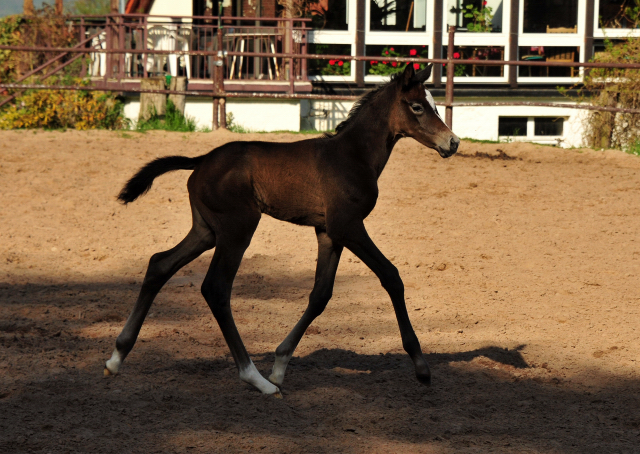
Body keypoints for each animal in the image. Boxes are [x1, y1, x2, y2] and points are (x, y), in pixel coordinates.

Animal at [107, 62, 462, 396]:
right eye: (417, 107)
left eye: (433, 103)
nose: (453, 142)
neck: (352, 155)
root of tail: (202, 159)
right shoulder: (348, 226)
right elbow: (391, 276)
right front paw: (421, 367)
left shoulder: (328, 233)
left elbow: (320, 295)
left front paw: (280, 364)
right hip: (237, 230)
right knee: (216, 288)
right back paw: (256, 379)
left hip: (206, 231)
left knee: (160, 264)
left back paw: (117, 357)